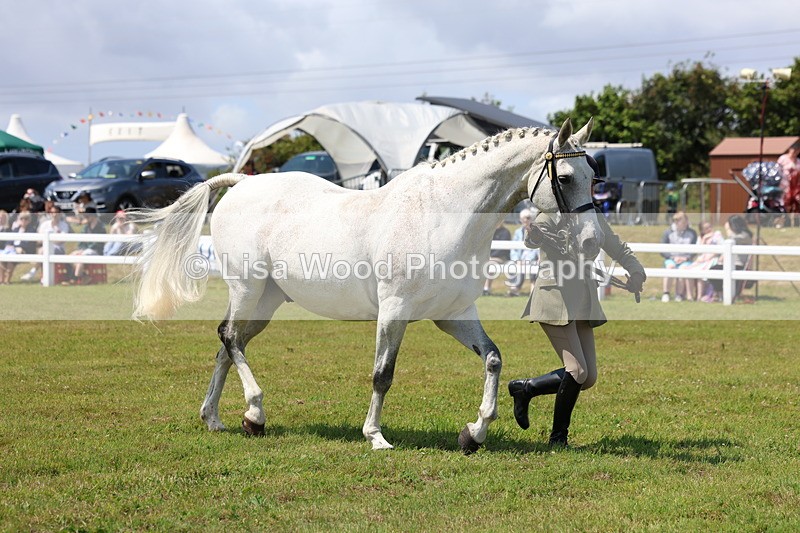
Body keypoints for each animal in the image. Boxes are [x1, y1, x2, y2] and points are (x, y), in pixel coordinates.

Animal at [131, 118, 602, 454]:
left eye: (593, 176)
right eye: (564, 177)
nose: (591, 242)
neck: (444, 214)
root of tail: (244, 182)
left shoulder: (453, 314)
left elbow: (492, 359)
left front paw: (475, 432)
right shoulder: (394, 311)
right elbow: (383, 374)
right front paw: (375, 436)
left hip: (266, 301)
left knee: (227, 346)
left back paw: (217, 418)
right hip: (246, 288)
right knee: (230, 338)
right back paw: (256, 414)